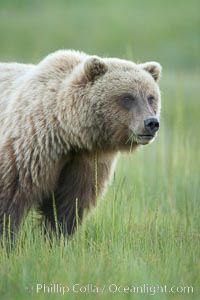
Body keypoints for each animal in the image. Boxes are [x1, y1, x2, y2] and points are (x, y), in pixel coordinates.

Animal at [0, 50, 162, 238]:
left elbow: (68, 205)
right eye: (128, 97)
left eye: (150, 97)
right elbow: (10, 199)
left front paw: (56, 236)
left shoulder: (86, 163)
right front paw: (7, 237)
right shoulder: (30, 150)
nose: (151, 122)